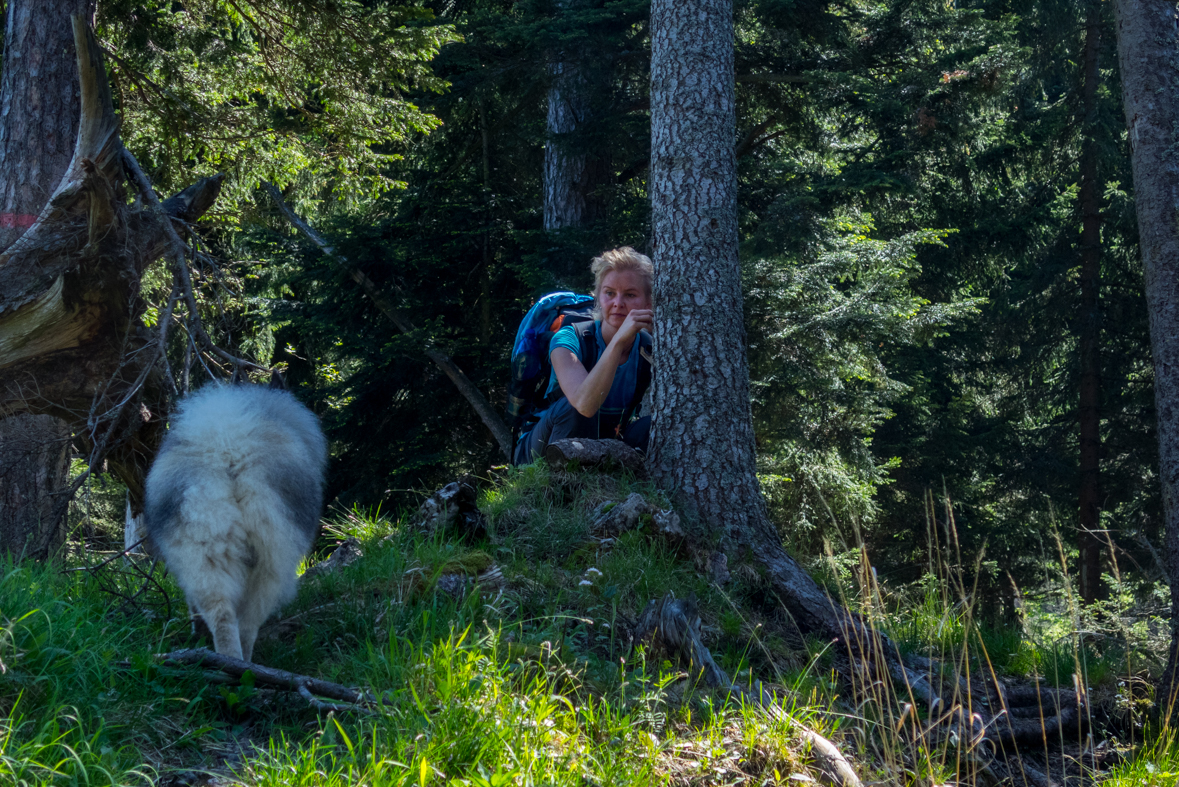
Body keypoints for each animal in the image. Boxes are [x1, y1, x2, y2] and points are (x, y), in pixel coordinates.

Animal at [147, 377, 332, 659]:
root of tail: (228, 451)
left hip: (205, 555)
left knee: (222, 617)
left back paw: (229, 662)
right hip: (270, 563)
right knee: (246, 626)